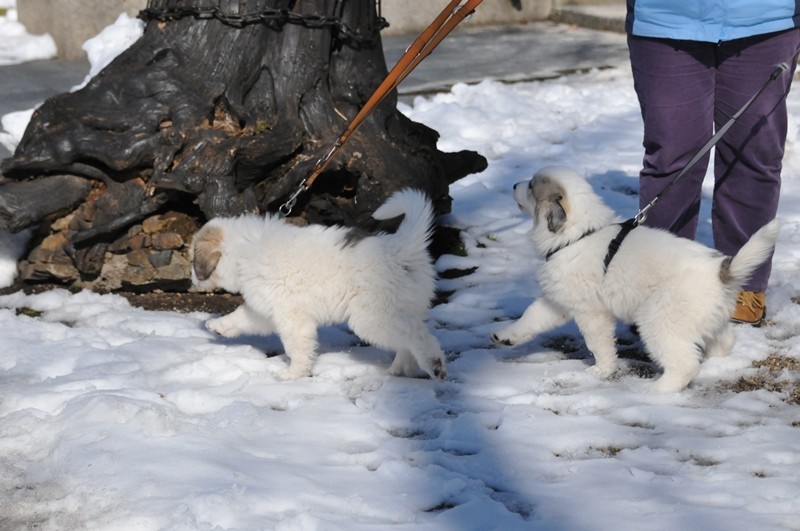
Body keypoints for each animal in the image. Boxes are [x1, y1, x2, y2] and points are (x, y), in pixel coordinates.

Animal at [190, 188, 446, 381]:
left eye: (193, 260)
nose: (191, 280)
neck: (244, 249)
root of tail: (400, 249)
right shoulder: (266, 308)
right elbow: (242, 315)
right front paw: (218, 325)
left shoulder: (291, 316)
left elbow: (297, 347)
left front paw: (293, 374)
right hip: (402, 308)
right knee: (408, 338)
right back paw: (399, 370)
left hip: (372, 317)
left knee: (416, 336)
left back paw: (433, 365)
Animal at [491, 166, 780, 392]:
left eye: (530, 186)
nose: (514, 184)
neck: (579, 235)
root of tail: (721, 270)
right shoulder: (559, 299)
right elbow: (532, 316)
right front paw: (505, 336)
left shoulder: (590, 312)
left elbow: (598, 343)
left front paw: (601, 370)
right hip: (706, 319)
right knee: (722, 342)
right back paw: (714, 364)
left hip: (659, 320)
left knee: (685, 364)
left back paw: (657, 390)